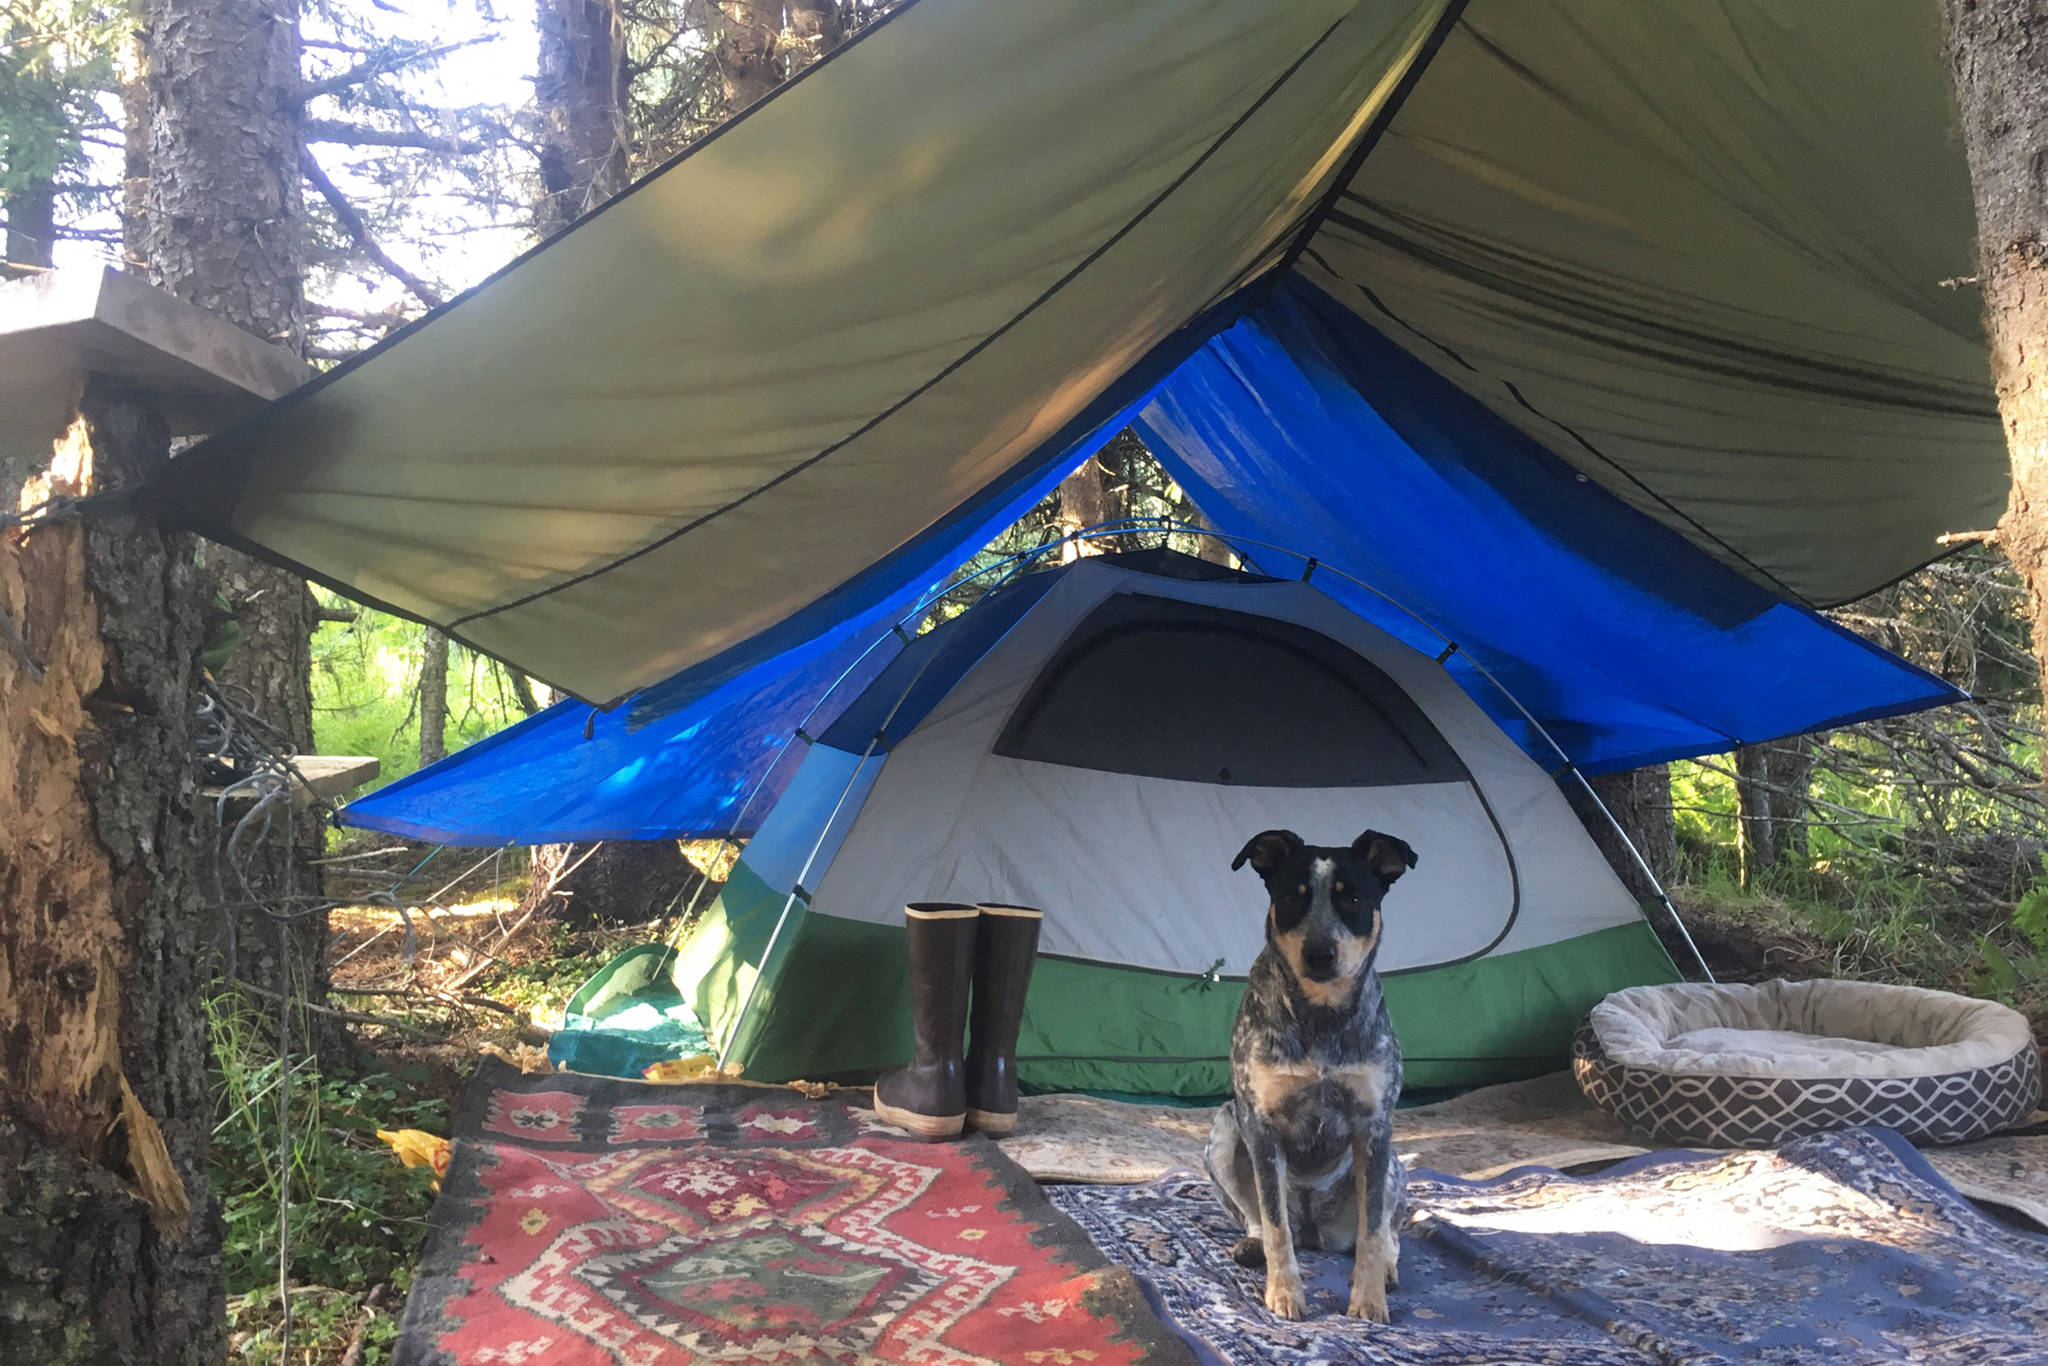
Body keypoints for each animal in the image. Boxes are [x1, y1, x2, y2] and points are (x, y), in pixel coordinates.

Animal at [1204, 827, 1417, 1318]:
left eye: (1354, 899)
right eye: (1291, 898)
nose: (1320, 953)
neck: (1321, 1017)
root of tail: (1316, 1230)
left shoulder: (1374, 1126)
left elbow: (1373, 1232)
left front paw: (1368, 1299)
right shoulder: (1260, 1126)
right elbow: (1275, 1226)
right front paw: (1284, 1292)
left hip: (1395, 1168)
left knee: (1386, 1232)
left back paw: (1385, 1269)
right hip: (1224, 1132)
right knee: (1268, 1221)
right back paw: (1253, 1246)